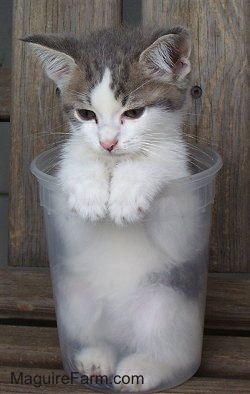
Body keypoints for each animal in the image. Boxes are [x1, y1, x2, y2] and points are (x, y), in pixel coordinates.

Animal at [23, 26, 203, 392]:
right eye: (86, 114)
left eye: (133, 113)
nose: (107, 143)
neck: (113, 163)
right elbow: (75, 165)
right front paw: (88, 190)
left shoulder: (184, 193)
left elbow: (159, 168)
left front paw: (129, 189)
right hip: (73, 291)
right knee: (91, 323)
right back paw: (96, 357)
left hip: (166, 301)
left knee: (168, 344)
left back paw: (143, 369)